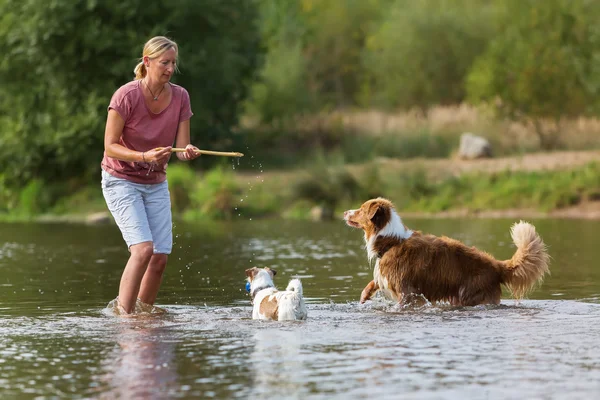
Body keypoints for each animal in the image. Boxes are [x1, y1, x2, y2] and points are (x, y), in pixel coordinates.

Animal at [344, 199, 552, 306]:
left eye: (361, 209)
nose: (345, 212)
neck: (391, 241)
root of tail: (496, 265)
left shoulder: (408, 292)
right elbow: (372, 283)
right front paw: (363, 297)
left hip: (469, 295)